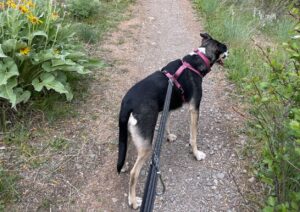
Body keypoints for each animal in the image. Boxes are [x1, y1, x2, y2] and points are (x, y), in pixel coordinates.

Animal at [116, 32, 227, 209]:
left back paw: (124, 165)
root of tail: (127, 102)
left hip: (126, 133)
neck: (197, 59)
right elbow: (193, 137)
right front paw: (196, 154)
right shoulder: (194, 108)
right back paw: (133, 201)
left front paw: (169, 136)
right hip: (146, 146)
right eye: (224, 48)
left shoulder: (166, 107)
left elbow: (166, 123)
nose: (229, 52)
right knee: (134, 173)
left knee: (123, 149)